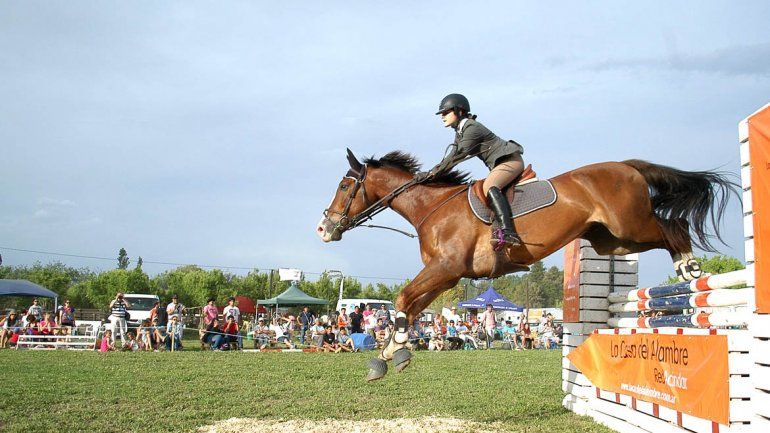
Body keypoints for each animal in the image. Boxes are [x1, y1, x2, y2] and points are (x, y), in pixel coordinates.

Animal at [316, 149, 737, 380]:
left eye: (344, 185)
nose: (323, 228)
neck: (431, 207)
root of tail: (625, 165)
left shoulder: (447, 269)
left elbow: (404, 299)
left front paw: (397, 354)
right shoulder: (447, 276)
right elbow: (410, 308)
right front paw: (388, 355)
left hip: (630, 225)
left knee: (674, 225)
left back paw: (690, 270)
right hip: (613, 238)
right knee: (666, 229)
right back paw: (686, 271)